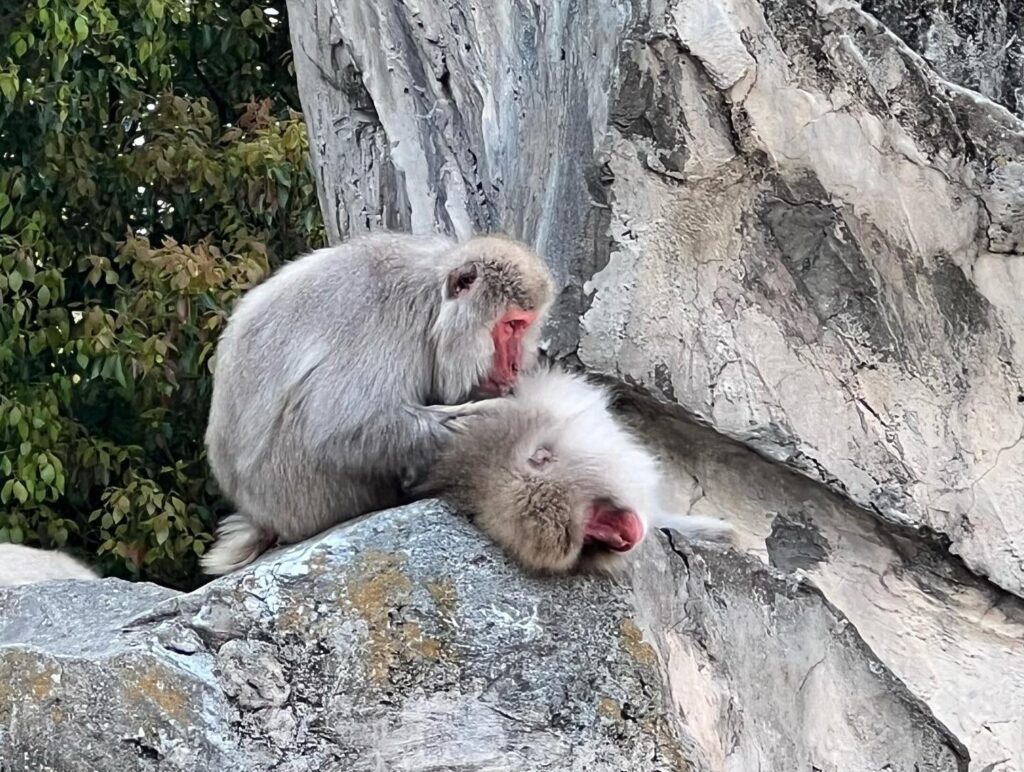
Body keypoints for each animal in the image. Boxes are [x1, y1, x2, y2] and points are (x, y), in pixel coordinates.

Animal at [199, 228, 552, 573]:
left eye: (524, 325)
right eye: (511, 325)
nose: (515, 366)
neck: (431, 305)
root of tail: (260, 516)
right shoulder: (387, 317)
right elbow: (340, 430)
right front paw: (501, 420)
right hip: (300, 493)